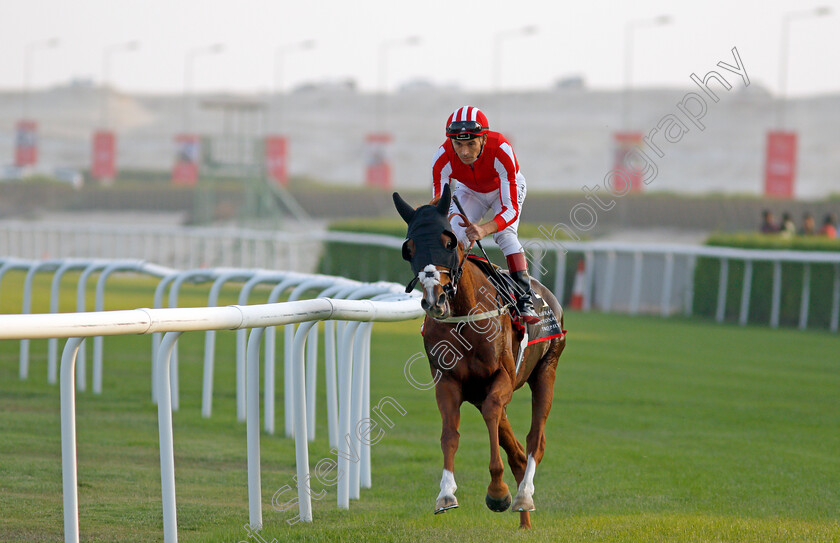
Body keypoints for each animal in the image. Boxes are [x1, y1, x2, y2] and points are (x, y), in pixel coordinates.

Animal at [392, 187, 564, 532]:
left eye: (449, 243)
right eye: (409, 248)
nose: (434, 300)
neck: (463, 315)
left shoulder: (502, 377)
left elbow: (491, 414)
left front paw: (498, 492)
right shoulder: (449, 381)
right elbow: (449, 431)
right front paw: (445, 494)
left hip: (546, 370)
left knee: (534, 440)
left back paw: (524, 496)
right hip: (478, 390)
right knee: (516, 451)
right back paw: (523, 520)